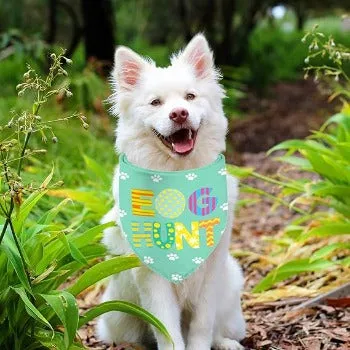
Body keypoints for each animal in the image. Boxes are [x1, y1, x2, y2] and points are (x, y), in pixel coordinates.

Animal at [97, 33, 246, 350]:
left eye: (190, 97)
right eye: (155, 103)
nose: (179, 114)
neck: (179, 178)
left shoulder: (211, 270)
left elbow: (203, 325)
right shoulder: (152, 276)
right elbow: (166, 329)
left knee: (218, 327)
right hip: (118, 314)